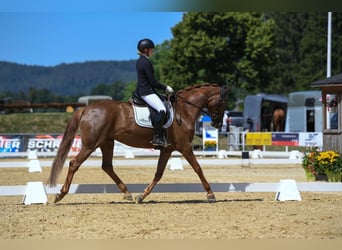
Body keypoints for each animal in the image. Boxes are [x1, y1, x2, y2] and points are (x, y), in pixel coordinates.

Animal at [47, 83, 227, 204]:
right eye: (222, 102)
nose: (218, 123)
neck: (184, 110)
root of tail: (86, 108)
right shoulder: (185, 147)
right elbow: (198, 168)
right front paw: (210, 194)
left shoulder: (167, 149)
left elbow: (158, 173)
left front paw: (142, 195)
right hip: (90, 145)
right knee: (74, 164)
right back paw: (60, 194)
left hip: (107, 142)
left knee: (107, 166)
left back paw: (127, 193)